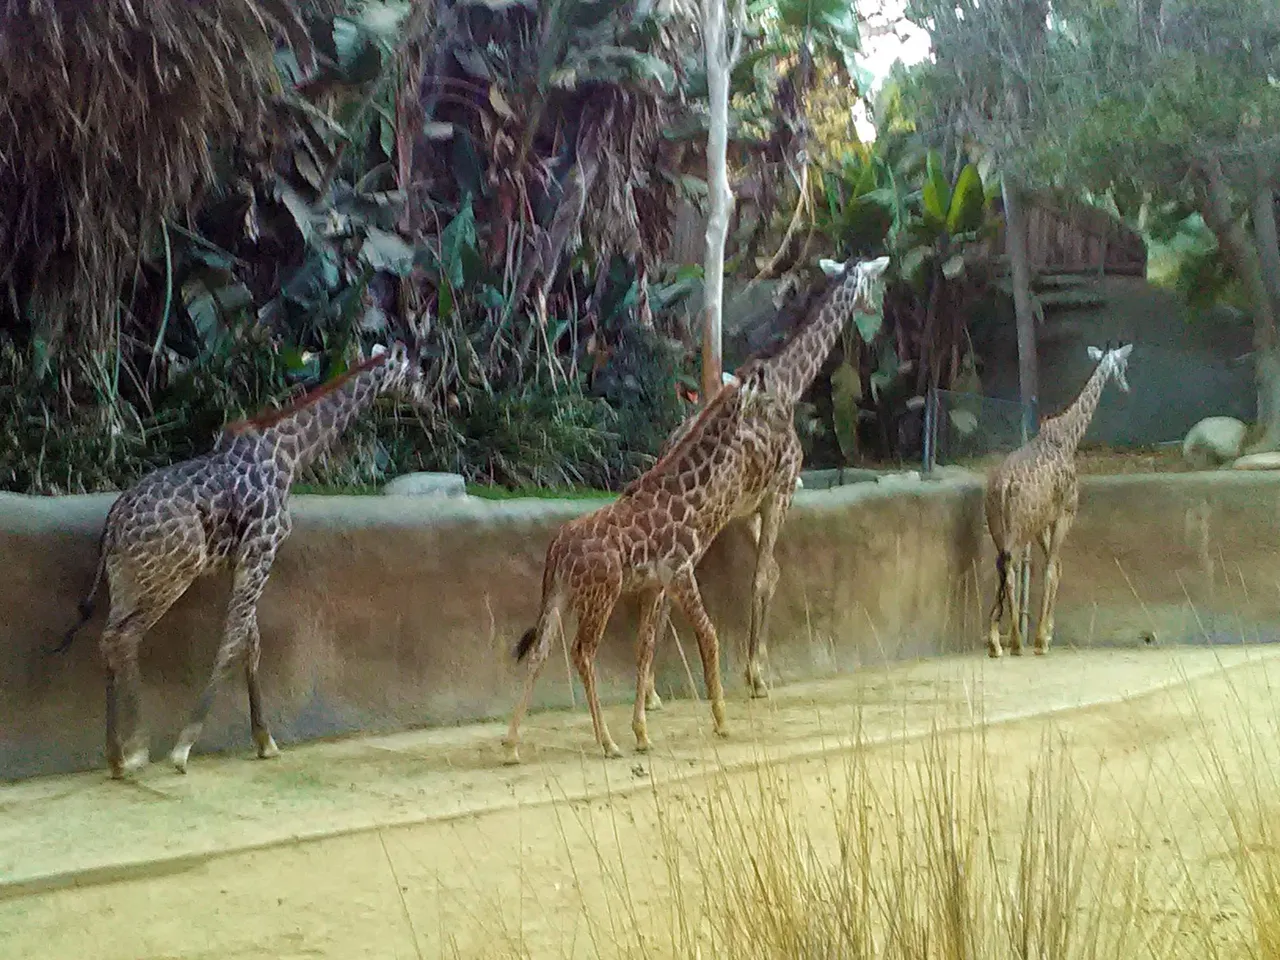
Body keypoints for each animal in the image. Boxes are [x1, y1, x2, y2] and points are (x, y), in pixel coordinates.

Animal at [57, 343, 435, 778]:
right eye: (417, 373)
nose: (431, 402)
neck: (290, 454)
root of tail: (113, 523)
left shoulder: (242, 560)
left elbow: (251, 643)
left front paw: (265, 741)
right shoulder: (262, 548)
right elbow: (234, 641)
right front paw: (183, 749)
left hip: (126, 577)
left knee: (108, 637)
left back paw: (117, 756)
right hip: (171, 574)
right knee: (124, 637)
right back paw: (134, 751)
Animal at [499, 360, 788, 768]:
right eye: (769, 400)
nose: (787, 434)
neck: (689, 499)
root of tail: (557, 551)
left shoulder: (655, 584)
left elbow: (645, 646)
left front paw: (642, 733)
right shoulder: (681, 571)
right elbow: (709, 635)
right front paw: (721, 721)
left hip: (560, 596)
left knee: (540, 651)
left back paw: (511, 745)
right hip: (601, 593)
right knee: (582, 652)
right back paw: (606, 743)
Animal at [645, 257, 896, 701]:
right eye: (876, 282)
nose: (875, 314)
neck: (791, 382)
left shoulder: (751, 507)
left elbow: (772, 573)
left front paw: (757, 666)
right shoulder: (780, 492)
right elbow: (762, 577)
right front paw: (757, 676)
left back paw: (652, 690)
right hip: (701, 526)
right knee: (667, 584)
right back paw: (651, 692)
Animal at [983, 340, 1136, 660]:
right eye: (1123, 365)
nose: (1126, 386)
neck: (1068, 436)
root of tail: (1004, 486)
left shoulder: (1044, 520)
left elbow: (1055, 566)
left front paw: (1046, 632)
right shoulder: (1065, 512)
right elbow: (1053, 568)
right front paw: (1043, 639)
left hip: (998, 525)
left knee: (1004, 565)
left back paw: (998, 640)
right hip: (1021, 526)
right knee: (1012, 567)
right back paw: (1014, 641)